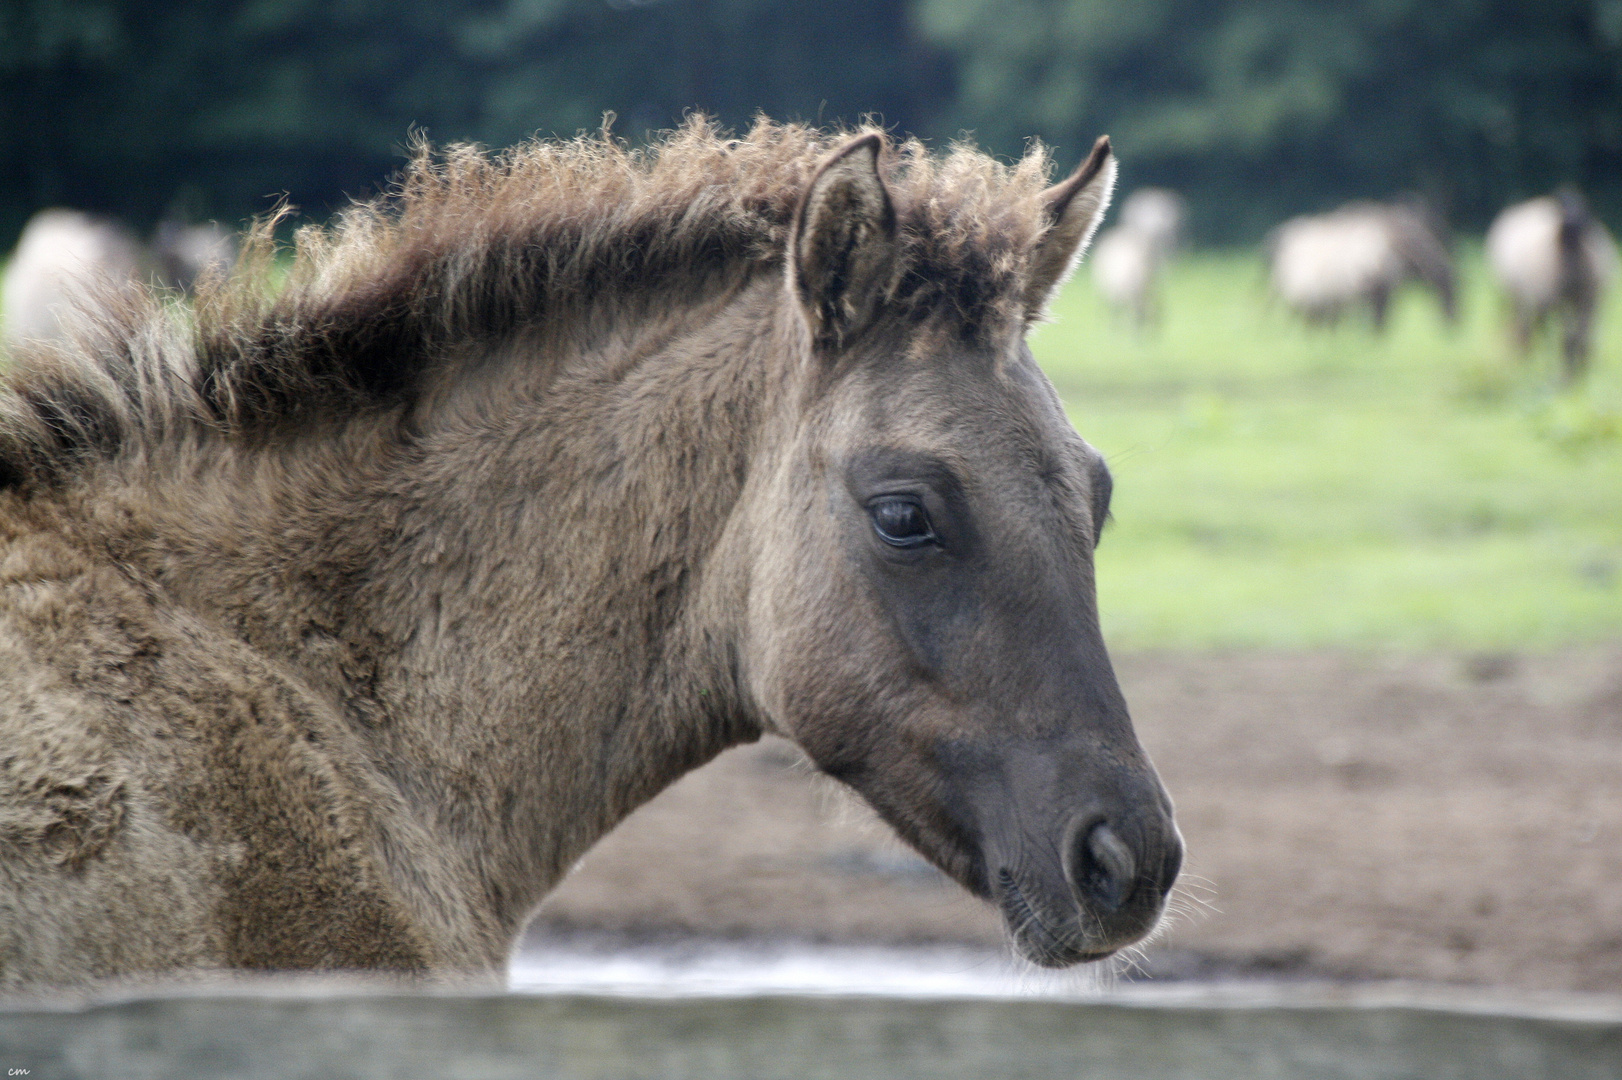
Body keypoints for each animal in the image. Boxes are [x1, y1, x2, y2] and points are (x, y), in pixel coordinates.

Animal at [1485, 191, 1615, 381]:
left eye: (1585, 210)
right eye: (1563, 209)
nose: (1584, 231)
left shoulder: (1586, 300)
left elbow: (1581, 337)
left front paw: (1581, 372)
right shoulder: (1560, 302)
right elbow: (1568, 339)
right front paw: (1568, 375)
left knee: (1537, 329)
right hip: (1521, 299)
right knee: (1527, 328)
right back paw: (1530, 359)